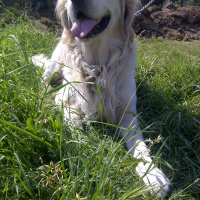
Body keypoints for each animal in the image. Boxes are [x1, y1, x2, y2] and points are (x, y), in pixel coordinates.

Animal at [32, 0, 170, 197]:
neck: (96, 65)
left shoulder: (127, 112)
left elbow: (140, 145)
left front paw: (152, 174)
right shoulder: (66, 101)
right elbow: (76, 131)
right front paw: (82, 152)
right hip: (53, 68)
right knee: (42, 83)